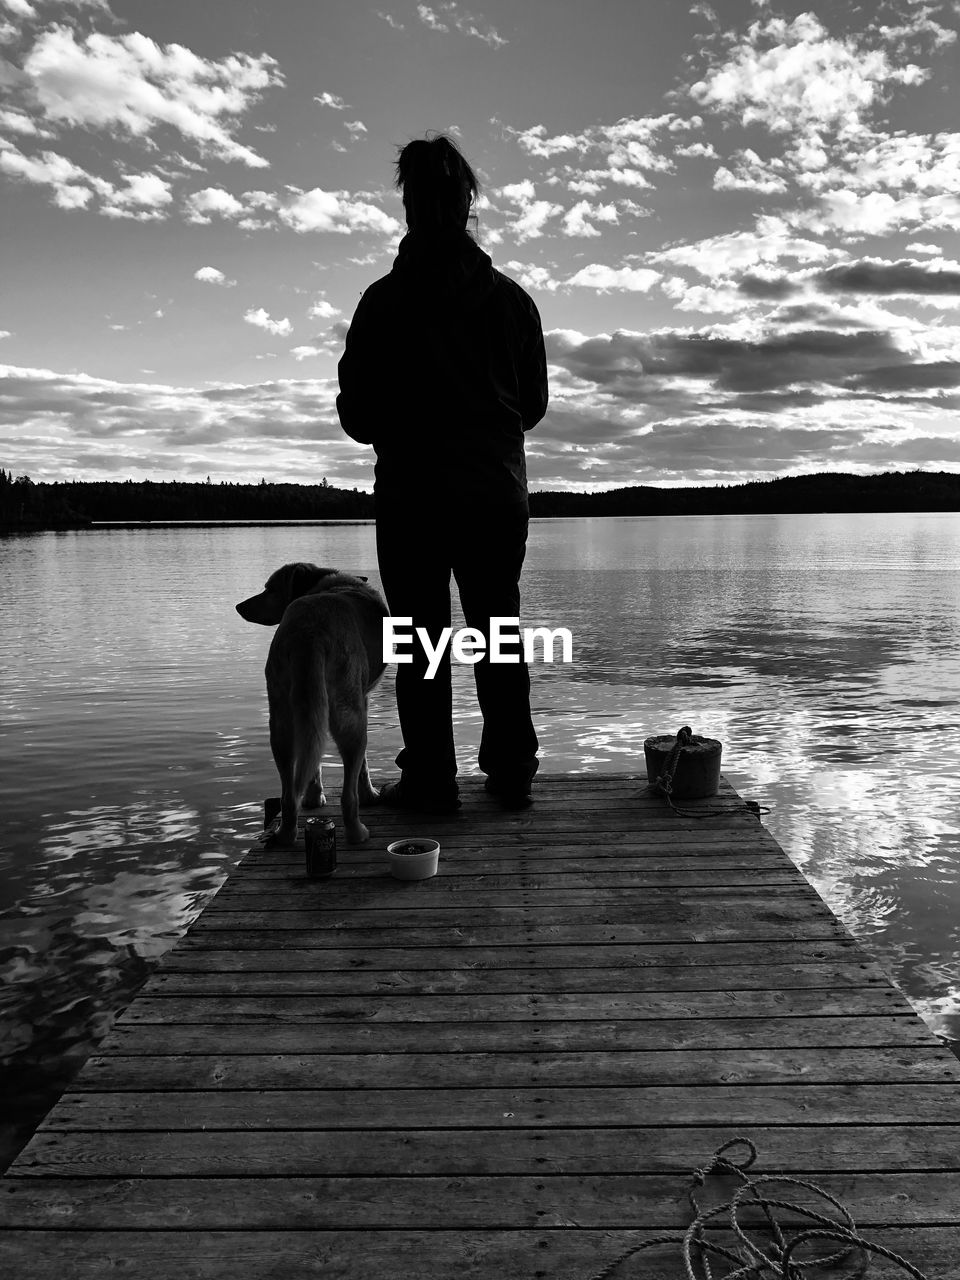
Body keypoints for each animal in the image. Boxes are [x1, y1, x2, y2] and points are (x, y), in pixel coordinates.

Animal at [236, 563, 386, 844]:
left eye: (270, 588)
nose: (239, 606)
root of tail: (309, 632)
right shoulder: (364, 699)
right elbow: (363, 767)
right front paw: (371, 795)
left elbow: (313, 763)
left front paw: (314, 798)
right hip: (351, 718)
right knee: (349, 794)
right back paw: (358, 832)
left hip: (282, 720)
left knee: (288, 792)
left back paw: (286, 833)